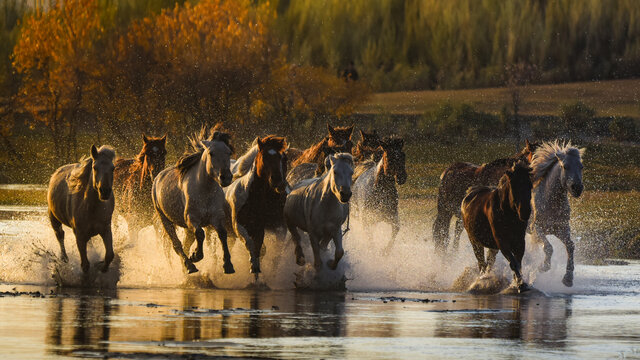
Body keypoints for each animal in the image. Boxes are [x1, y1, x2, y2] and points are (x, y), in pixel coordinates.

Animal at [48, 145, 117, 274]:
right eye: (95, 167)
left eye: (113, 168)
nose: (104, 191)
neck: (91, 208)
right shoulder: (79, 234)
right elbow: (85, 265)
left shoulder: (106, 230)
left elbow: (109, 255)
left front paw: (102, 269)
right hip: (53, 217)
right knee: (60, 235)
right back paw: (64, 258)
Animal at [152, 127, 235, 272]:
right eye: (211, 153)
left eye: (228, 152)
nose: (226, 177)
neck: (204, 190)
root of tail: (158, 177)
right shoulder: (192, 218)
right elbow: (200, 234)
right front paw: (196, 255)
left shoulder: (217, 217)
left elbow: (222, 234)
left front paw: (228, 265)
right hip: (165, 219)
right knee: (177, 245)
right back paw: (189, 266)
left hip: (185, 227)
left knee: (185, 244)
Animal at [462, 162, 532, 292]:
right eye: (514, 186)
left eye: (530, 185)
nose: (525, 212)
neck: (507, 213)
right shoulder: (502, 242)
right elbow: (513, 263)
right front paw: (520, 284)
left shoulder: (519, 242)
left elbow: (518, 262)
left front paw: (520, 282)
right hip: (475, 242)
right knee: (482, 264)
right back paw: (481, 280)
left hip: (492, 247)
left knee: (489, 263)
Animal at [528, 140, 584, 286]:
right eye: (565, 166)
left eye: (581, 166)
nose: (577, 188)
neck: (550, 202)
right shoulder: (536, 228)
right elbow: (548, 247)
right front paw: (543, 266)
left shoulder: (561, 228)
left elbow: (570, 246)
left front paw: (568, 278)